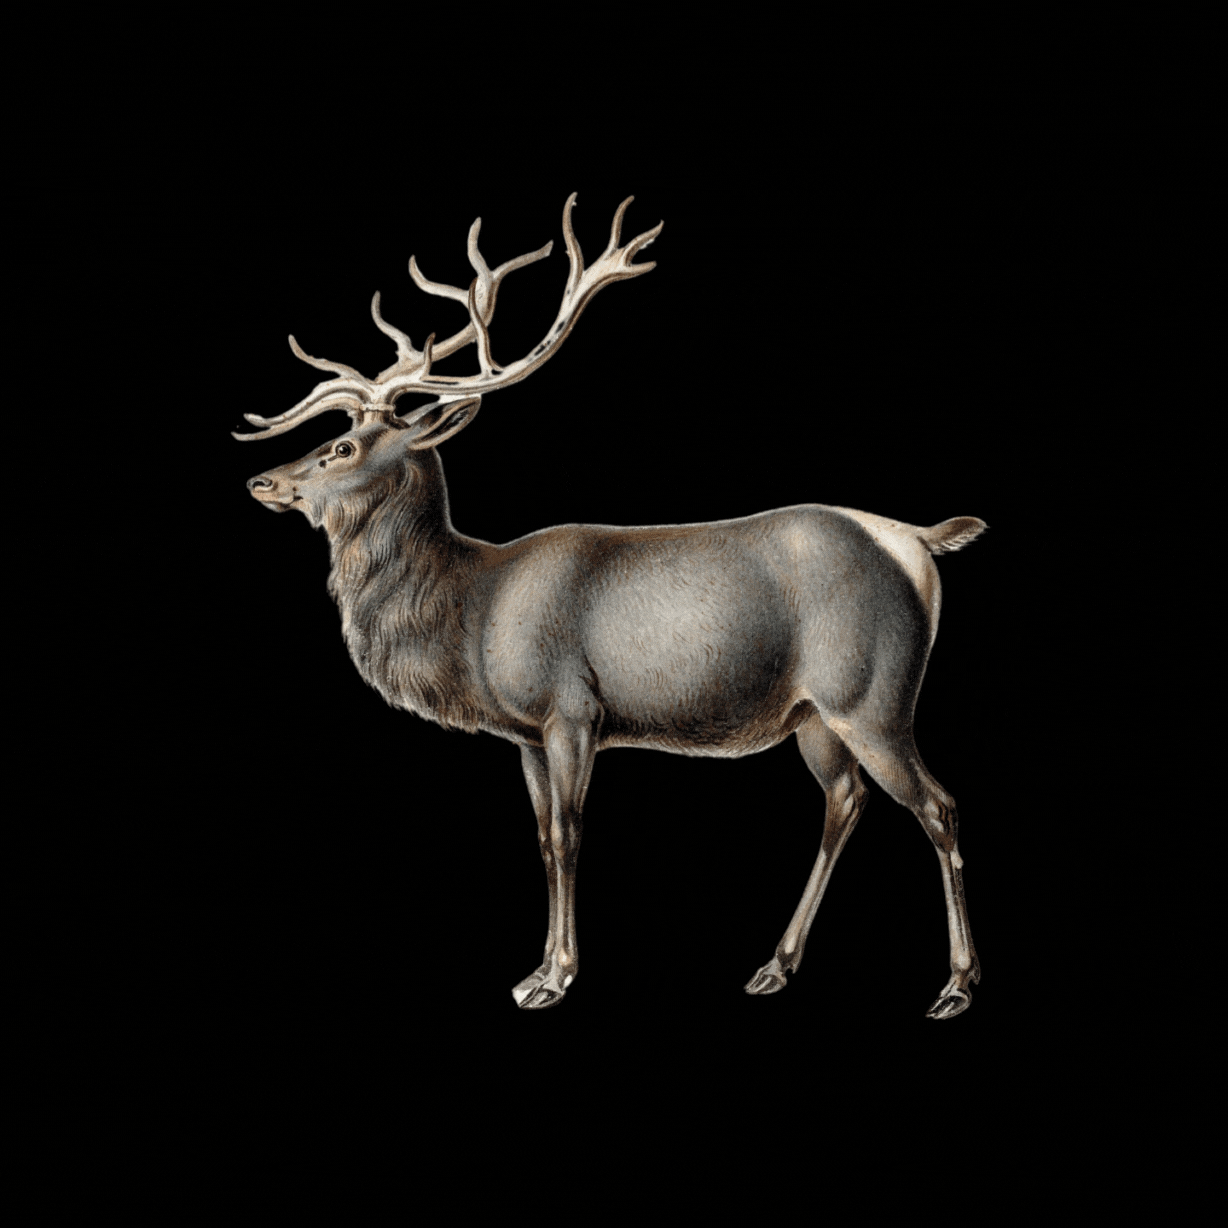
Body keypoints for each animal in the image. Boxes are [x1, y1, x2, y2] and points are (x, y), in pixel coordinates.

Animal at [237, 194, 986, 1019]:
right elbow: (540, 837)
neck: (471, 612)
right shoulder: (525, 733)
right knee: (846, 802)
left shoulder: (571, 708)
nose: (263, 481)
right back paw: (775, 965)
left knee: (939, 805)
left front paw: (554, 977)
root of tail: (919, 541)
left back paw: (956, 984)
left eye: (342, 446)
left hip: (874, 697)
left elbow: (567, 835)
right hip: (817, 715)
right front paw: (536, 968)